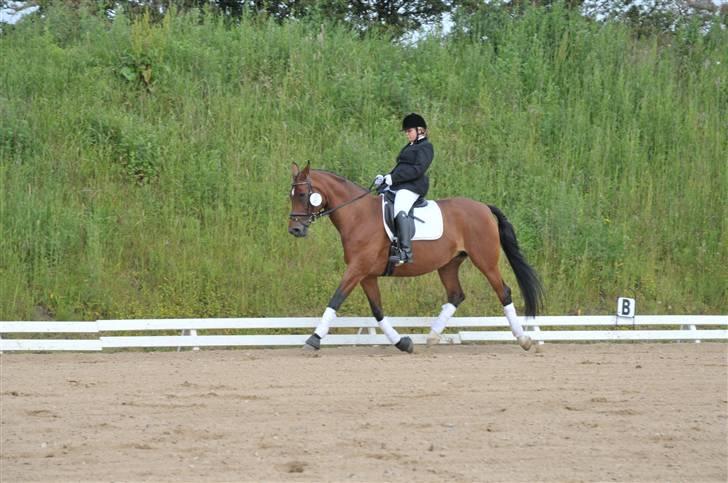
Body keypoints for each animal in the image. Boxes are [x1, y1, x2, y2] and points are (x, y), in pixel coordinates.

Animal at [288, 161, 544, 354]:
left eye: (302, 194)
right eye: (290, 196)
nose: (295, 230)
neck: (357, 216)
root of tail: (484, 207)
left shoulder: (358, 268)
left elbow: (336, 299)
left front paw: (313, 339)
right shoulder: (366, 274)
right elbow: (377, 310)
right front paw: (403, 343)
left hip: (485, 261)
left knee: (504, 292)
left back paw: (524, 340)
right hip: (448, 264)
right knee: (456, 295)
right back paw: (432, 336)